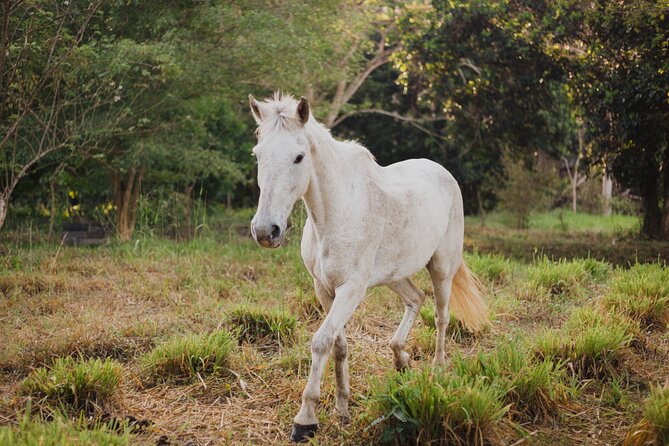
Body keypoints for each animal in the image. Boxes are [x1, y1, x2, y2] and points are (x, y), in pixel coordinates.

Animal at [248, 92, 488, 443]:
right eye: (258, 155)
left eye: (299, 157)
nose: (266, 231)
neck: (336, 213)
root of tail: (443, 173)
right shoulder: (324, 288)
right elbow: (338, 345)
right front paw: (342, 408)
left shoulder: (351, 289)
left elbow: (321, 342)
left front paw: (305, 419)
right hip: (394, 275)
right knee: (415, 299)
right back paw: (401, 360)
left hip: (442, 268)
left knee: (442, 316)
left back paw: (438, 370)